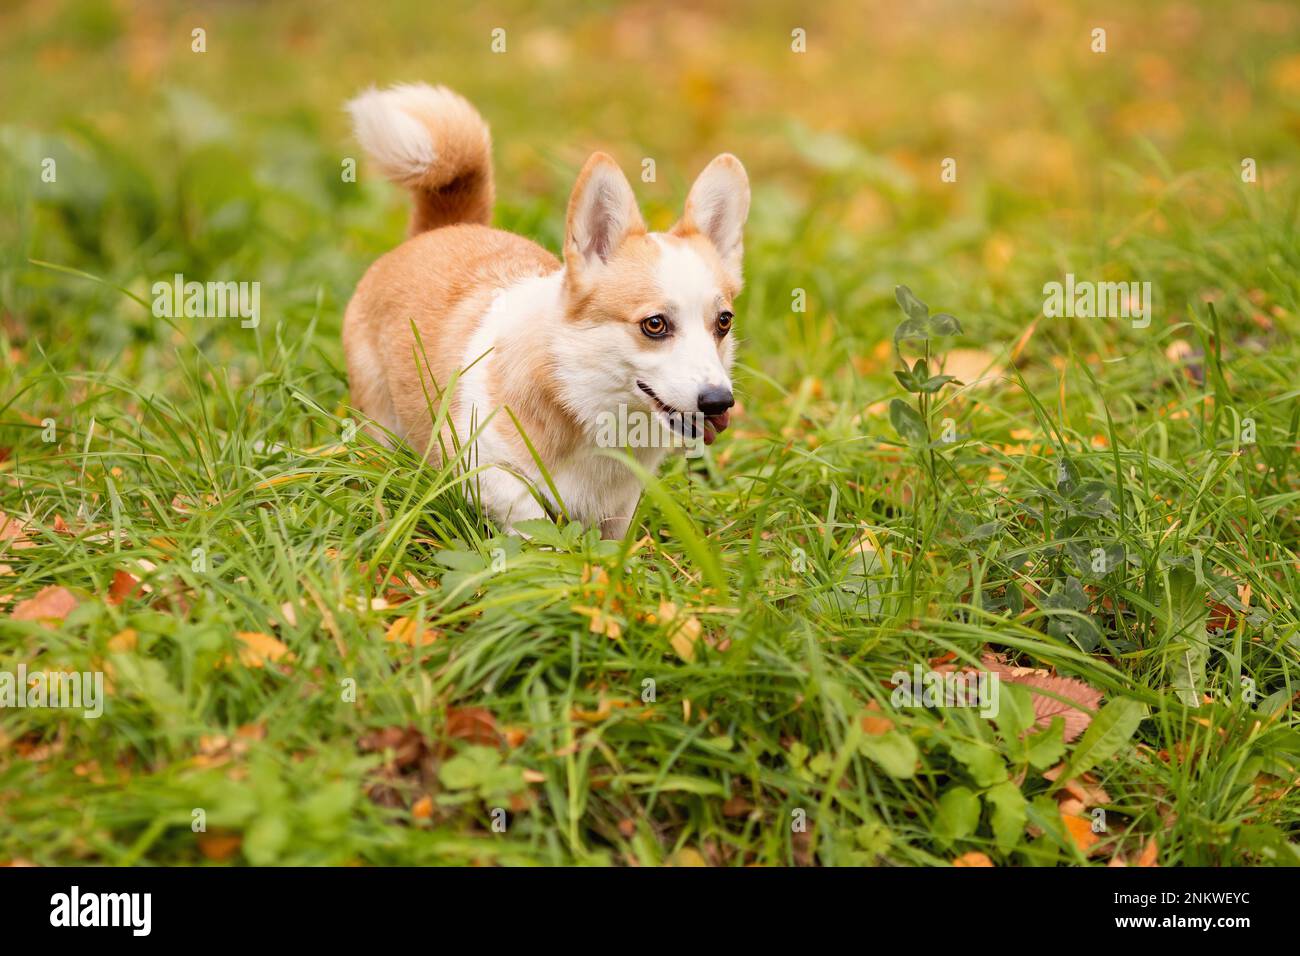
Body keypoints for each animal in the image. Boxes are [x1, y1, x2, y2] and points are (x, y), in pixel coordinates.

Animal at [342, 83, 749, 539]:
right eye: (655, 325)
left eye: (723, 322)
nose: (719, 401)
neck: (581, 394)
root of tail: (444, 228)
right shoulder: (479, 464)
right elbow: (531, 517)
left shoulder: (620, 504)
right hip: (378, 417)